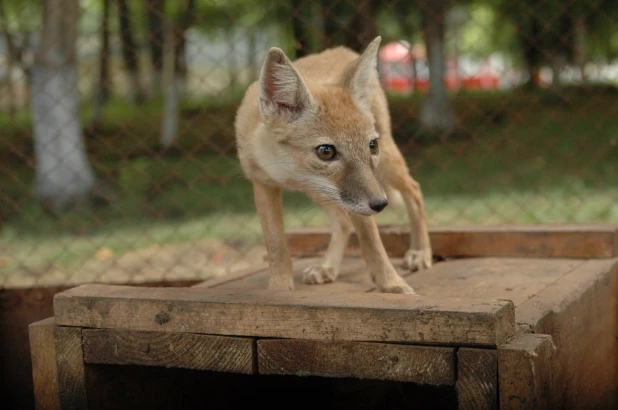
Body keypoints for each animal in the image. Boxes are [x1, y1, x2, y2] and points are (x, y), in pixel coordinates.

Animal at [233, 36, 430, 294]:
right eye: (326, 151)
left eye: (371, 145)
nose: (381, 204)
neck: (285, 171)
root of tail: (339, 49)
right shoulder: (263, 183)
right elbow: (276, 247)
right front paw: (279, 289)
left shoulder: (361, 198)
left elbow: (372, 241)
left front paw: (391, 284)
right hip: (320, 191)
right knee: (342, 223)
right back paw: (328, 267)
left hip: (385, 165)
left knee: (414, 190)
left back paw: (420, 252)